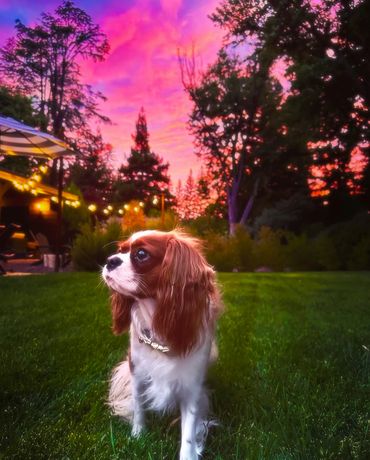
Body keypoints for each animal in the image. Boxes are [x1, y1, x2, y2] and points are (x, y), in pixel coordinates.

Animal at [101, 230, 223, 460]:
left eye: (141, 254)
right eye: (120, 250)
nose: (110, 260)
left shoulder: (192, 386)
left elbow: (189, 431)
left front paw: (188, 455)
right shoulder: (137, 372)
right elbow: (139, 406)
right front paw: (137, 436)